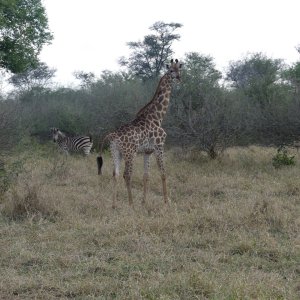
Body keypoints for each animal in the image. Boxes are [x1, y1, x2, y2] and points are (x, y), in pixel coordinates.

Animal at [98, 59, 183, 207]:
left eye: (180, 69)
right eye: (171, 70)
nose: (178, 78)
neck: (157, 117)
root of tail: (112, 136)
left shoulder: (147, 151)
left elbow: (146, 176)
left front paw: (144, 202)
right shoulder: (159, 146)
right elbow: (163, 173)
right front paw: (166, 202)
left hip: (116, 152)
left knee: (116, 174)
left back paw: (114, 205)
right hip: (130, 153)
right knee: (126, 175)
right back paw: (131, 204)